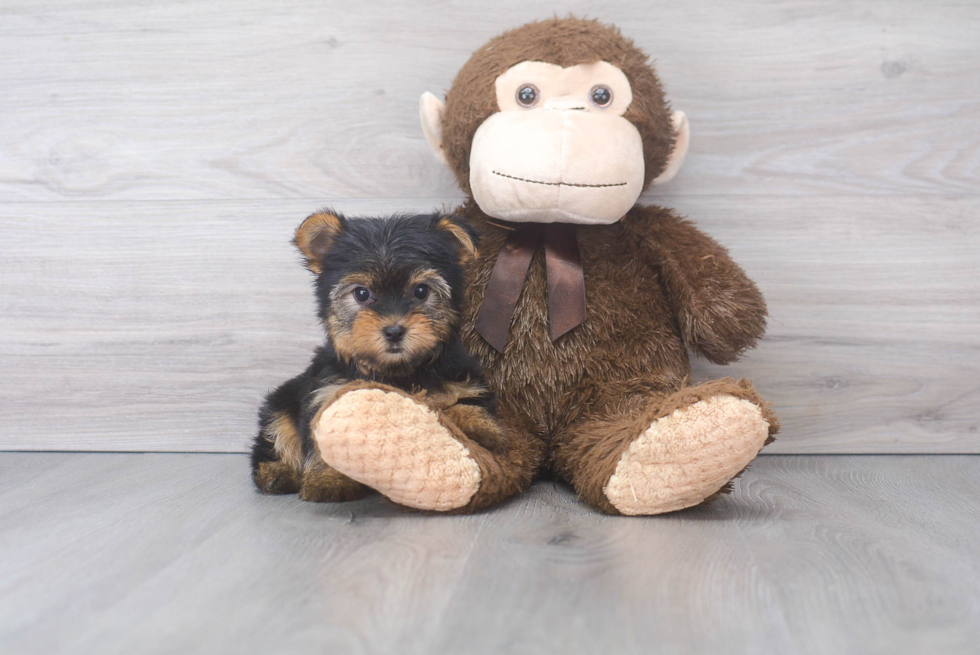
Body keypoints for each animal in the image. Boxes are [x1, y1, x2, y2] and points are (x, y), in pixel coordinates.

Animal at [249, 210, 506, 502]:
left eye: (421, 291)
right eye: (362, 294)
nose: (394, 330)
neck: (396, 371)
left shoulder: (462, 379)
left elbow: (465, 402)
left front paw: (485, 428)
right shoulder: (327, 393)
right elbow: (326, 438)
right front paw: (328, 479)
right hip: (281, 402)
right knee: (276, 433)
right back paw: (276, 473)